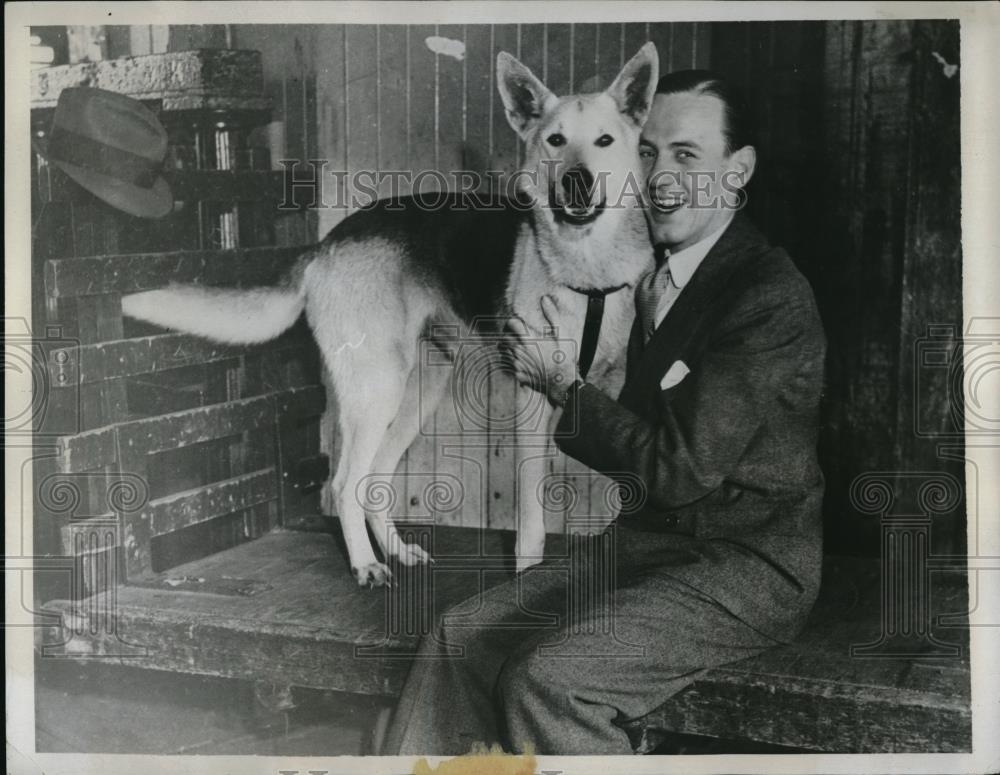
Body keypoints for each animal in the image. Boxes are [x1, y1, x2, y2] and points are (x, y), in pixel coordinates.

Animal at [121, 44, 660, 588]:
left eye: (605, 140)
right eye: (555, 141)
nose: (577, 182)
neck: (587, 271)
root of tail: (326, 244)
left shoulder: (601, 394)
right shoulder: (532, 404)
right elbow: (530, 519)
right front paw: (528, 576)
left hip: (418, 389)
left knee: (373, 478)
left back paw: (397, 552)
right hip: (377, 388)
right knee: (344, 482)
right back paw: (366, 564)